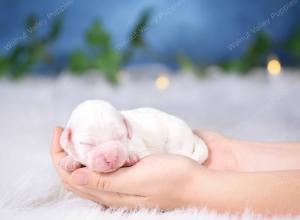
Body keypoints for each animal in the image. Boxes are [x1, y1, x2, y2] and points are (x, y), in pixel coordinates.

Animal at [59, 100, 207, 174]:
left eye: (120, 136)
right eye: (88, 144)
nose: (111, 157)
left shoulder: (140, 146)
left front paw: (129, 156)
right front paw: (70, 160)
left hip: (177, 140)